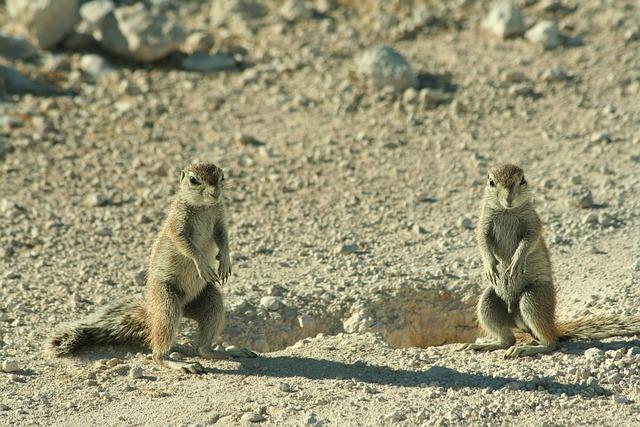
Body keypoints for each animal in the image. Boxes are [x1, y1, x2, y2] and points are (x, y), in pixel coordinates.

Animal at [46, 162, 256, 372]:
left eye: (222, 177)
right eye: (193, 180)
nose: (216, 193)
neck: (204, 207)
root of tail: (153, 312)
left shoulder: (220, 219)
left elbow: (224, 238)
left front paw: (226, 260)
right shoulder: (177, 224)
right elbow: (186, 245)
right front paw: (203, 265)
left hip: (210, 301)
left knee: (202, 347)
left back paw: (224, 352)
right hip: (167, 304)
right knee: (158, 354)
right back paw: (179, 363)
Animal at [462, 166, 640, 360]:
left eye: (522, 180)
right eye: (491, 182)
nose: (509, 199)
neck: (507, 211)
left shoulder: (533, 222)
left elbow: (529, 241)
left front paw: (517, 261)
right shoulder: (483, 223)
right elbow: (482, 242)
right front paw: (490, 266)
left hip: (533, 299)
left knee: (551, 343)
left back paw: (526, 348)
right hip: (487, 303)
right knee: (508, 339)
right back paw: (484, 345)